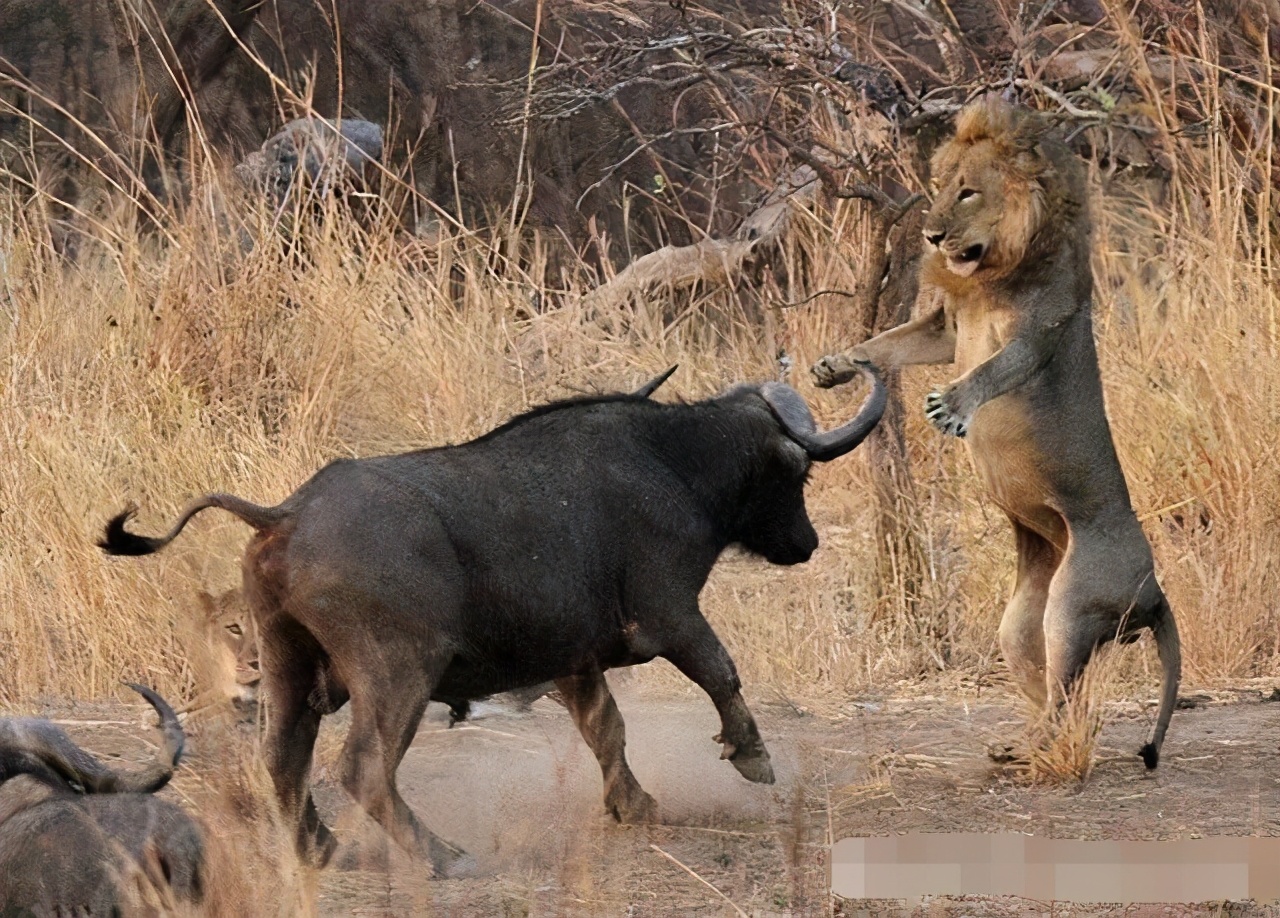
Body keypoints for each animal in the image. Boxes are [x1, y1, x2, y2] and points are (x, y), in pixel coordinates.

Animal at [99, 366, 885, 875]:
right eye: (798, 474)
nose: (806, 542)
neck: (675, 462)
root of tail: (286, 514)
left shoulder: (575, 661)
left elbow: (606, 730)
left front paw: (634, 805)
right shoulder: (671, 616)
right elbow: (721, 673)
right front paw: (752, 756)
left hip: (289, 671)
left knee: (281, 761)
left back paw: (323, 852)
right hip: (398, 675)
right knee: (361, 768)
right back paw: (445, 857)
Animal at [808, 92, 1177, 768]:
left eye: (968, 193)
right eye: (938, 189)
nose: (930, 234)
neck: (986, 274)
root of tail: (1156, 589)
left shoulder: (1036, 334)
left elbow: (993, 369)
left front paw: (953, 404)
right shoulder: (943, 328)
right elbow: (885, 343)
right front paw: (836, 364)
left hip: (1072, 602)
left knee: (1067, 694)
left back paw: (1034, 754)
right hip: (1021, 620)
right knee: (1064, 695)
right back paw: (1018, 747)